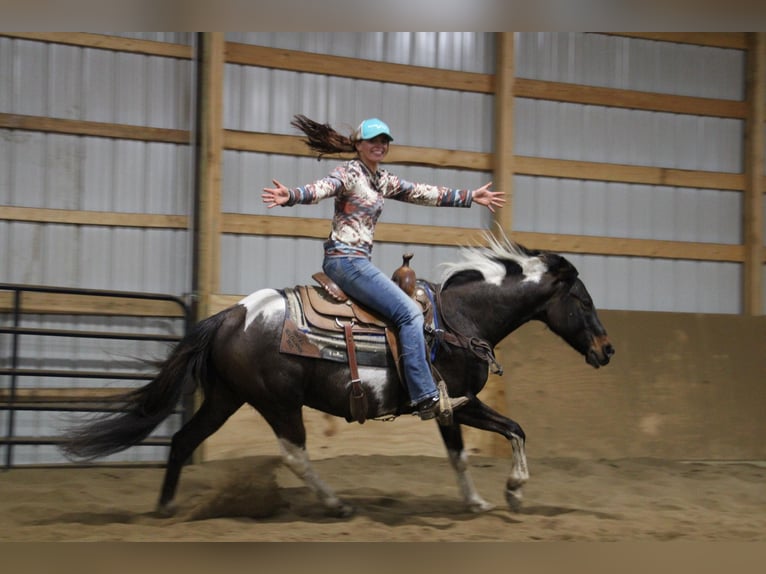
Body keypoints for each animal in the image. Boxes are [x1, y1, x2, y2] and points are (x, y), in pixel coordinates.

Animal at [60, 236, 616, 520]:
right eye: (583, 301)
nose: (607, 350)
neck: (459, 320)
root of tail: (231, 315)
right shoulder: (459, 400)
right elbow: (512, 431)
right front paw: (512, 491)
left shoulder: (449, 408)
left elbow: (467, 452)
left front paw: (483, 499)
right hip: (277, 402)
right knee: (294, 453)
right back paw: (335, 503)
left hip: (225, 397)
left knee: (182, 440)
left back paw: (164, 508)